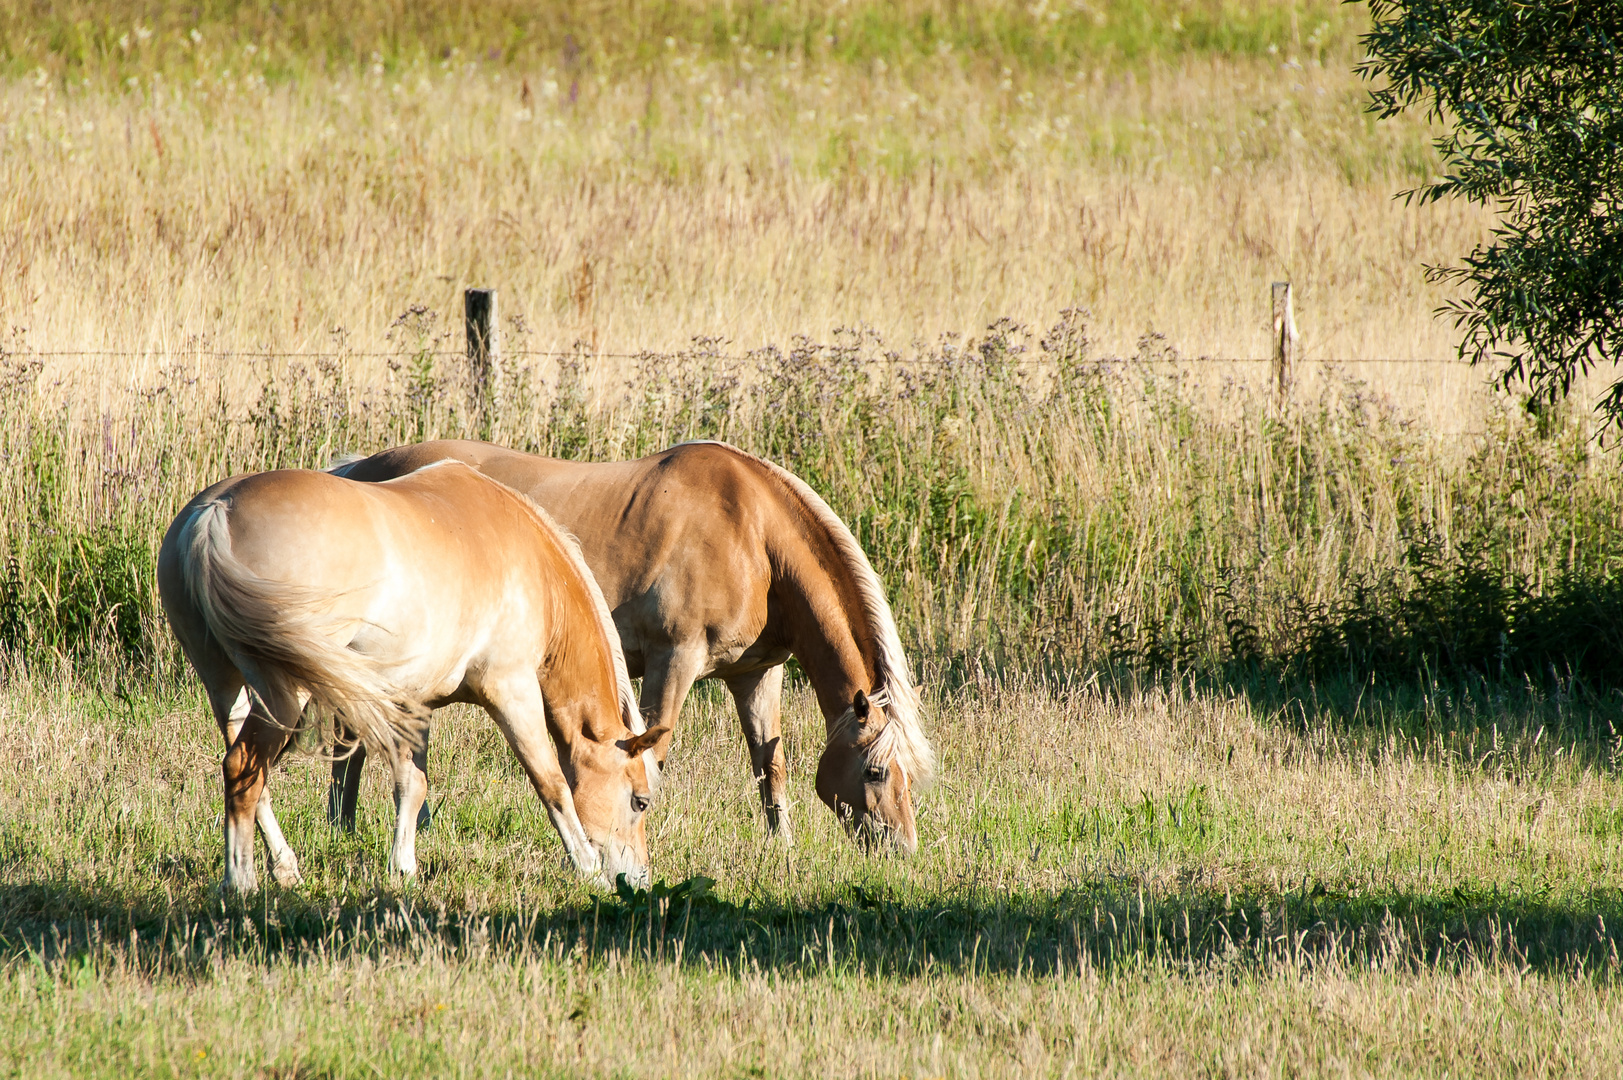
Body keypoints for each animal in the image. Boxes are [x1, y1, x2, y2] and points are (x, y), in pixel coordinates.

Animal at [158, 457, 665, 889]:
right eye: (639, 801)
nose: (639, 880)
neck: (534, 566)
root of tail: (214, 513)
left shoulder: (415, 702)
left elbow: (412, 784)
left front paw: (403, 867)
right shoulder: (510, 691)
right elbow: (552, 783)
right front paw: (590, 869)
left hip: (226, 686)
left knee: (246, 774)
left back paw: (284, 869)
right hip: (284, 691)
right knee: (244, 767)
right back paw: (240, 882)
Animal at [332, 438, 941, 851]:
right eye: (876, 772)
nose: (902, 848)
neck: (753, 536)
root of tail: (356, 470)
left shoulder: (755, 673)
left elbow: (770, 765)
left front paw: (782, 849)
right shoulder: (675, 660)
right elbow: (657, 760)